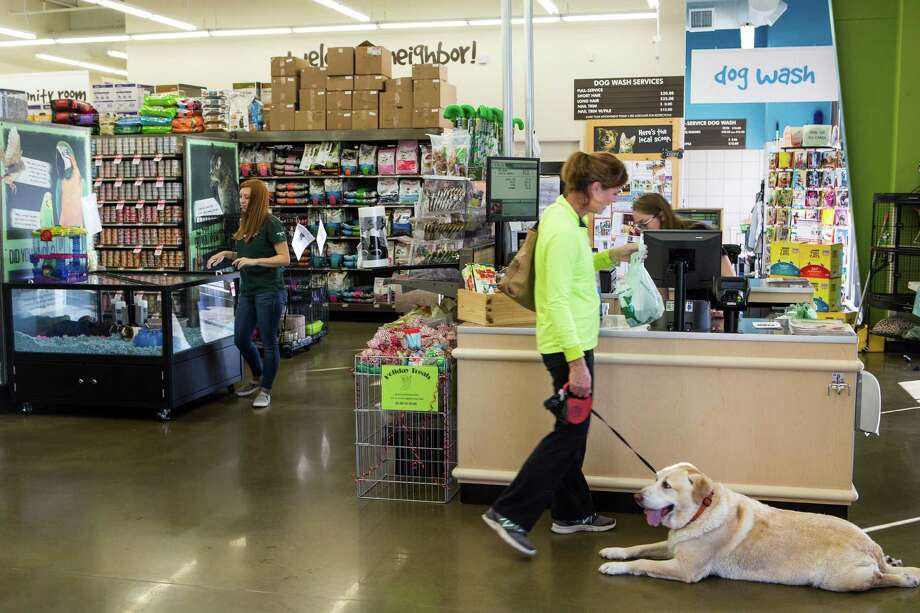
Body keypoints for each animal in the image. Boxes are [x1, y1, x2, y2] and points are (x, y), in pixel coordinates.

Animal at [600, 462, 916, 592]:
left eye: (666, 485)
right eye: (655, 479)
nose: (636, 497)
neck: (700, 513)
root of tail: (871, 547)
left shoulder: (685, 569)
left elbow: (642, 561)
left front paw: (615, 567)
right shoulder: (674, 545)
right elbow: (639, 547)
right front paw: (614, 552)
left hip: (838, 580)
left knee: (880, 579)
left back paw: (905, 579)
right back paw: (895, 562)